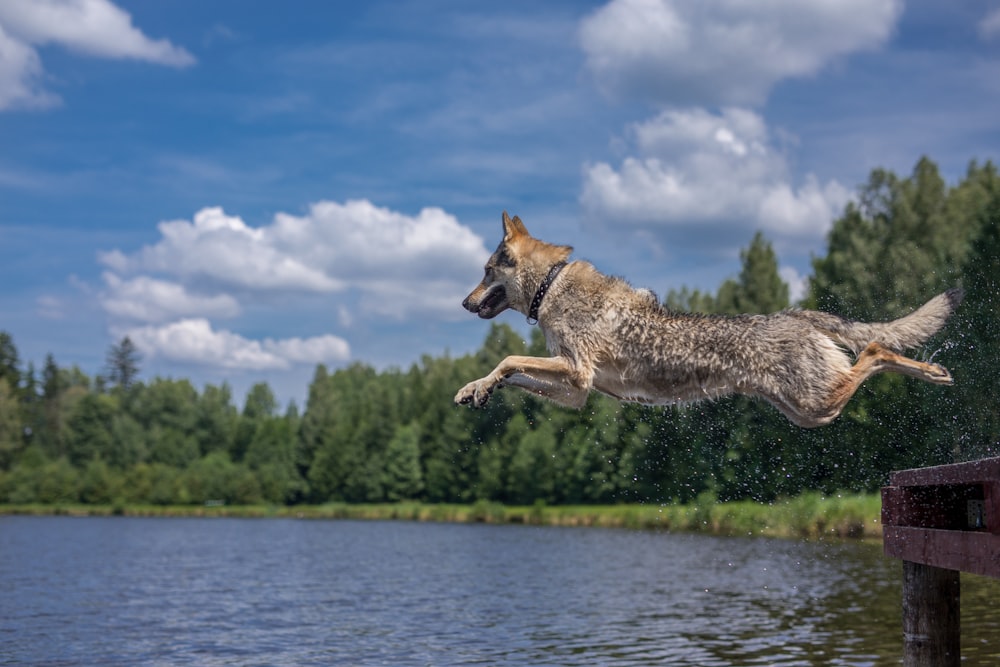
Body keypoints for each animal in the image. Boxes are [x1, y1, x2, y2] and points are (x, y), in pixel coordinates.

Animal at [458, 211, 964, 428]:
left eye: (484, 271)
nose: (463, 302)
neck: (551, 287)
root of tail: (796, 315)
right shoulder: (577, 392)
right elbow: (511, 373)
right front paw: (476, 390)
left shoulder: (576, 371)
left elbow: (509, 358)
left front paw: (483, 383)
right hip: (809, 413)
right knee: (874, 353)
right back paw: (936, 372)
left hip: (817, 405)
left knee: (876, 350)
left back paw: (934, 372)